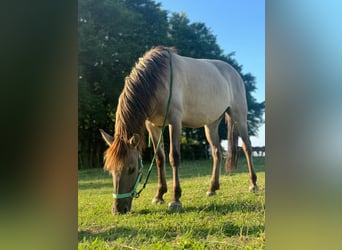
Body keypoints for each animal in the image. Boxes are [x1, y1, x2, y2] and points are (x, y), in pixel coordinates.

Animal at [100, 46, 258, 214]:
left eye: (131, 169)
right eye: (110, 170)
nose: (118, 209)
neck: (158, 78)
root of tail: (234, 72)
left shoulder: (174, 121)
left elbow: (174, 157)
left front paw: (175, 200)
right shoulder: (153, 126)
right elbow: (160, 159)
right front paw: (159, 195)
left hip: (239, 117)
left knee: (247, 147)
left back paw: (253, 184)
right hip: (211, 124)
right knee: (217, 152)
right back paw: (212, 189)